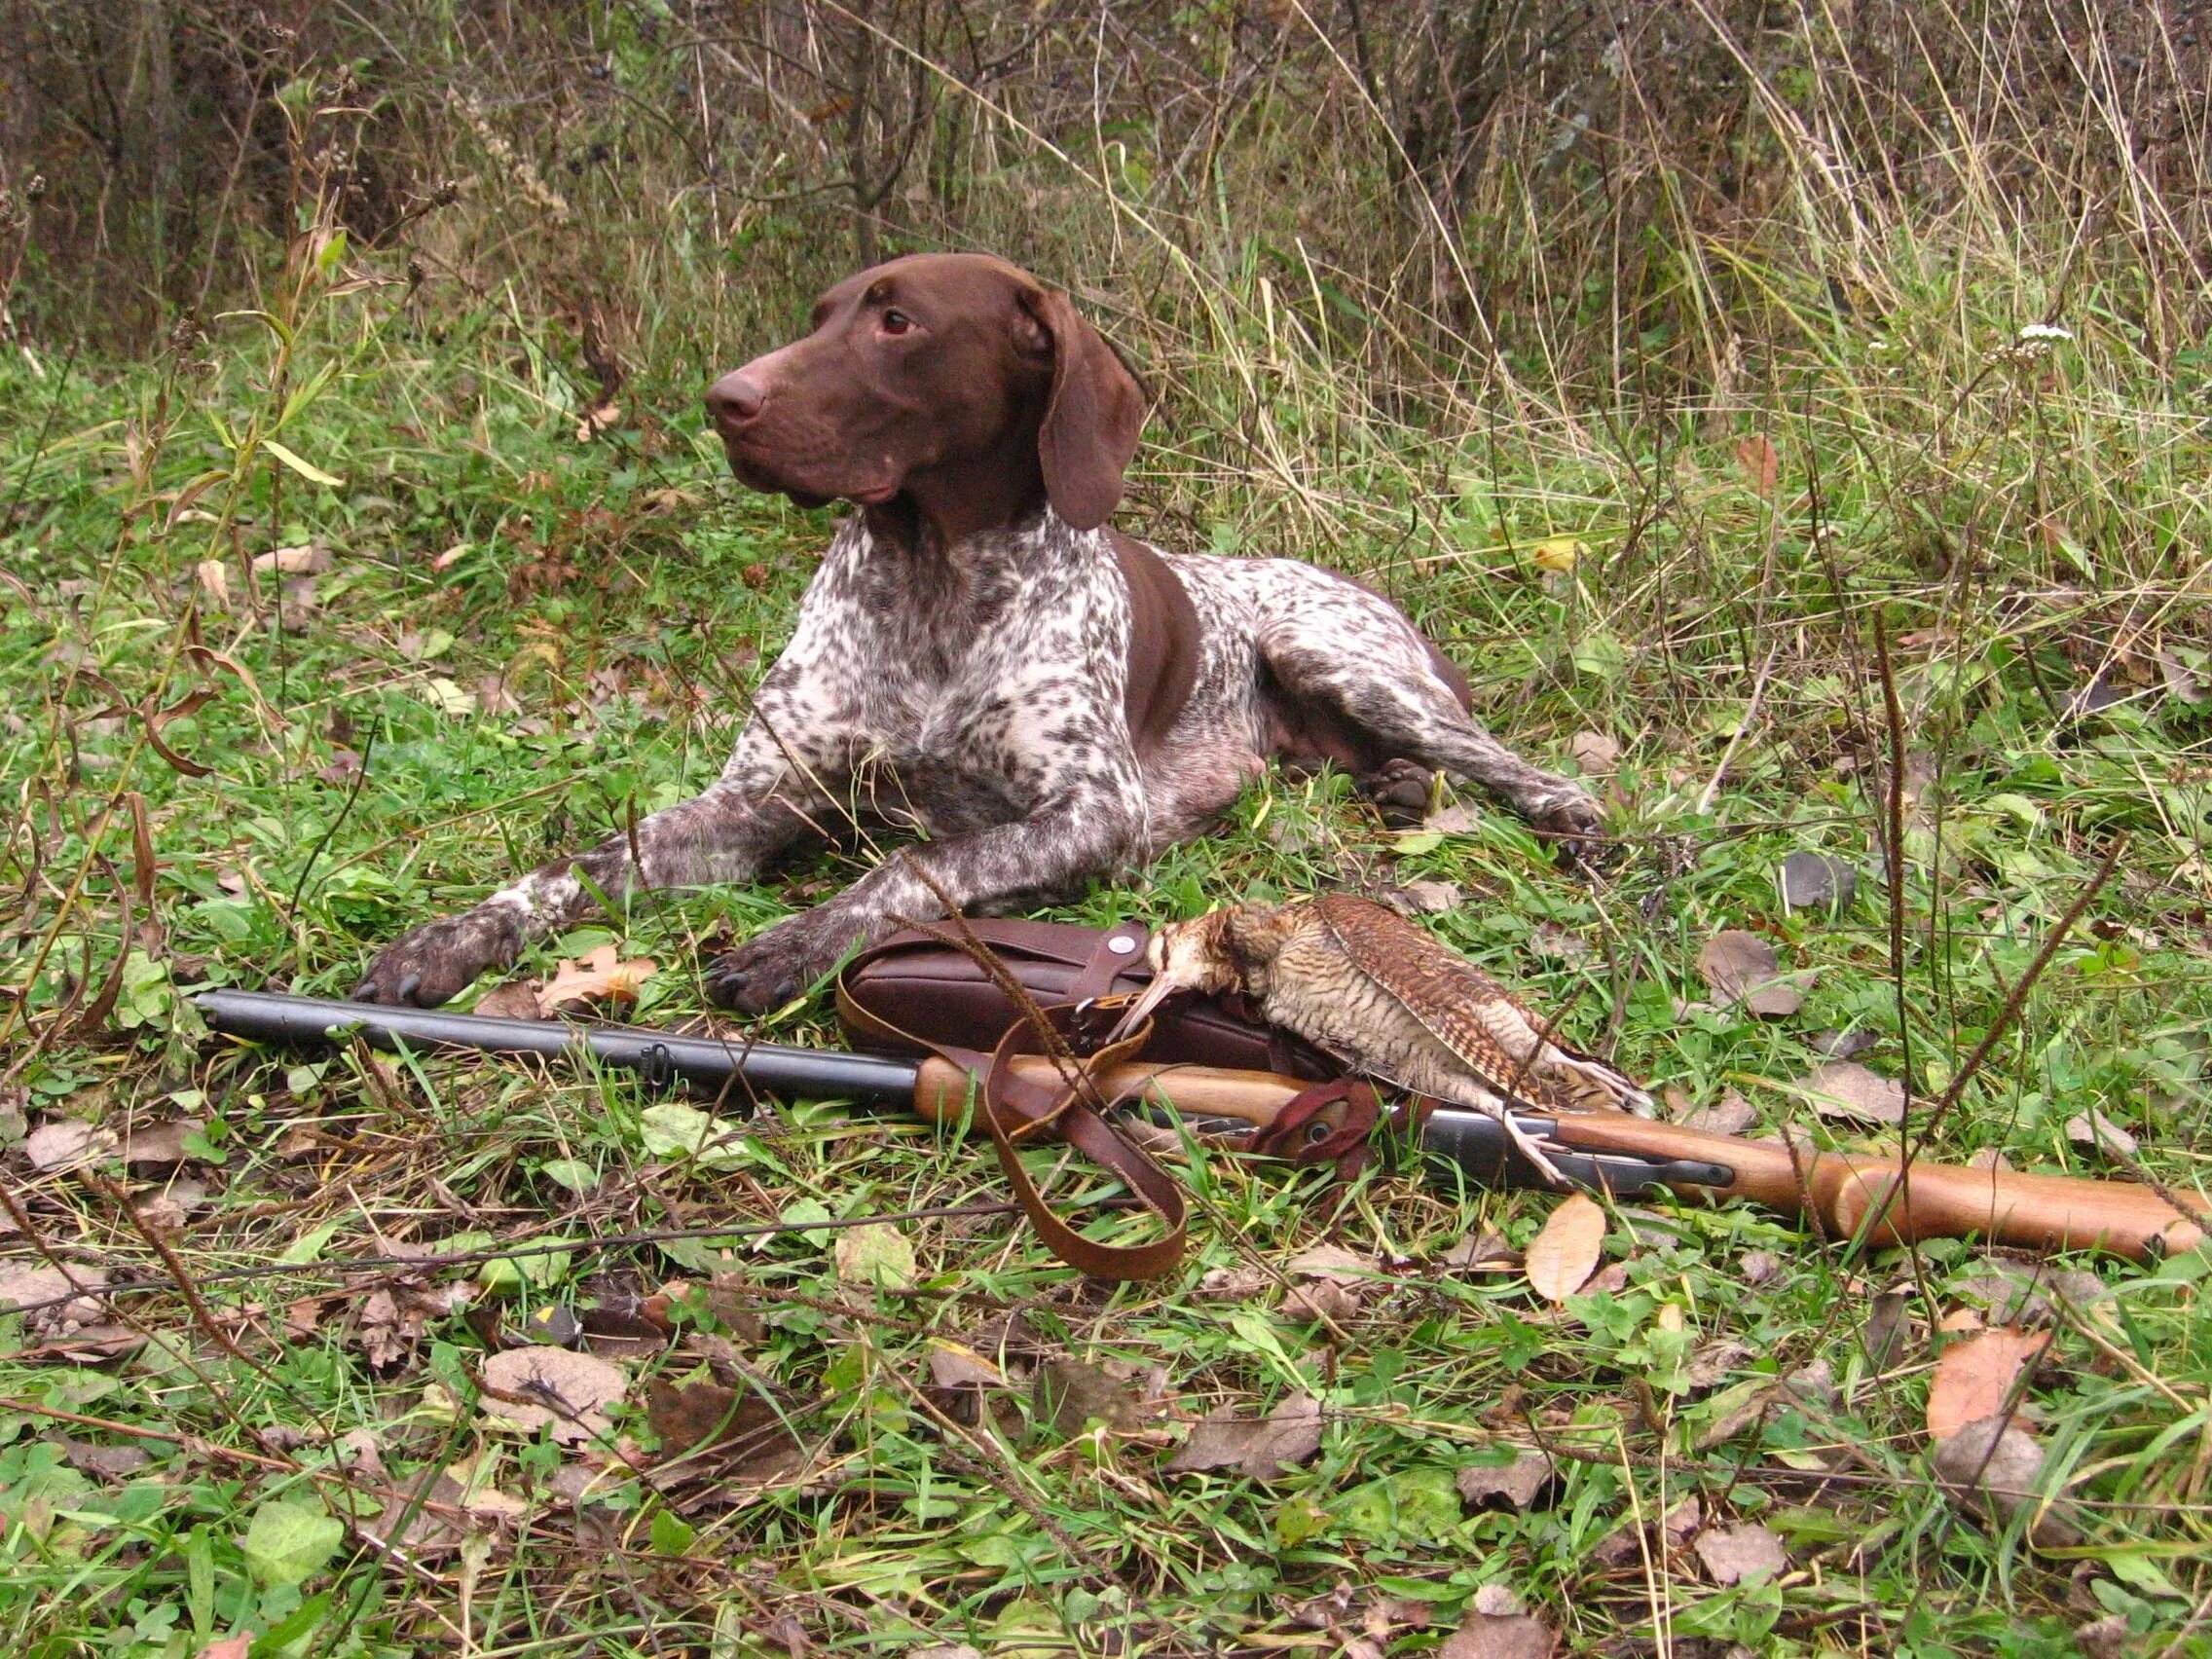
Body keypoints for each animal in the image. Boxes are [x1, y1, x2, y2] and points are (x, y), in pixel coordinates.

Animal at [349, 255, 1592, 1021]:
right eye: (821, 314)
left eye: (897, 322)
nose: (723, 399)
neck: (931, 586)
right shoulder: (757, 801)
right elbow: (580, 865)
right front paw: (446, 940)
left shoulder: (1091, 809)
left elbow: (916, 865)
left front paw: (798, 941)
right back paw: (1398, 793)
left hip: (1337, 656)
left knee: (1511, 763)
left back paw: (1569, 818)